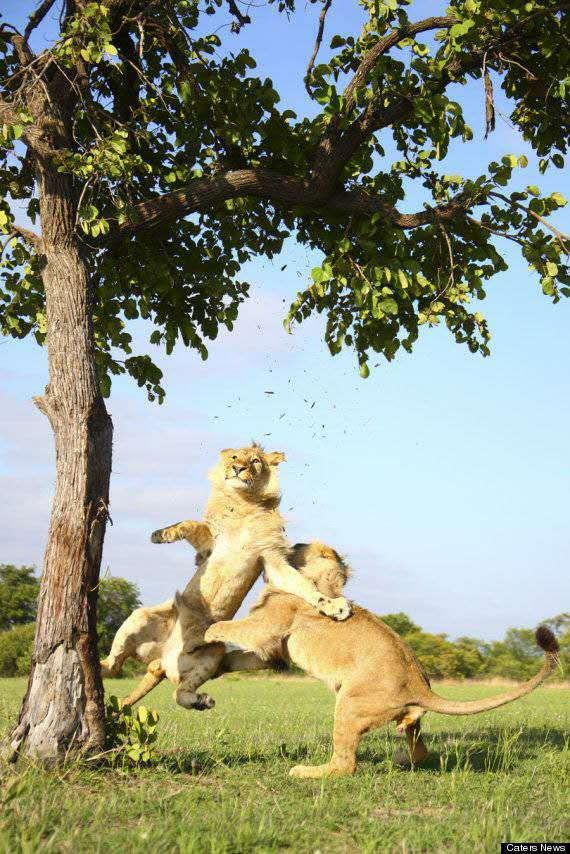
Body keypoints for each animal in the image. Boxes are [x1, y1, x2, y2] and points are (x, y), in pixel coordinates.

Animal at [102, 444, 350, 712]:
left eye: (255, 461)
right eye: (234, 456)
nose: (238, 468)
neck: (244, 506)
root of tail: (163, 658)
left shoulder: (269, 557)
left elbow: (302, 584)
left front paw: (334, 606)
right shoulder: (209, 546)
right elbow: (189, 523)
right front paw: (159, 534)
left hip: (213, 653)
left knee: (179, 692)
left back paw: (201, 701)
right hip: (139, 618)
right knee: (112, 665)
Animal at [202, 544, 556, 780]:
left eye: (305, 547)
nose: (292, 543)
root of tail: (420, 686)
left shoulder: (269, 625)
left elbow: (234, 628)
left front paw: (208, 630)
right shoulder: (274, 649)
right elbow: (242, 656)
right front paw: (218, 664)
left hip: (348, 705)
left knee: (346, 764)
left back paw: (306, 771)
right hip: (406, 719)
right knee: (420, 747)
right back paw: (401, 760)